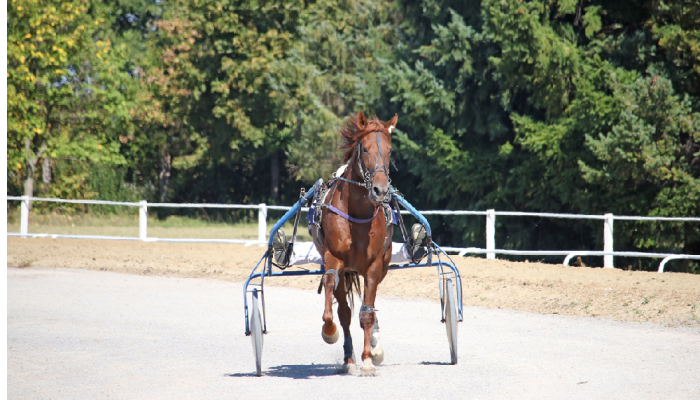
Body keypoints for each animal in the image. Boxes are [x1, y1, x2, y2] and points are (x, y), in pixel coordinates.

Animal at [318, 110, 396, 376]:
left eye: (391, 150)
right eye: (365, 149)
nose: (380, 190)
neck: (358, 214)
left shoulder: (374, 267)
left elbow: (367, 314)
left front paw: (368, 359)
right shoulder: (334, 258)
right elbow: (337, 302)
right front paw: (330, 331)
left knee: (368, 307)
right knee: (344, 309)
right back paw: (348, 358)